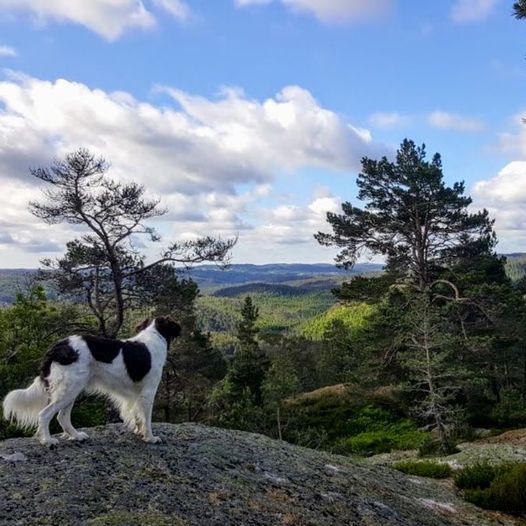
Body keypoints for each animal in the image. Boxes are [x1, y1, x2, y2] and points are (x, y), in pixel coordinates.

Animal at [1, 316, 182, 448]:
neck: (154, 335)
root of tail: (58, 347)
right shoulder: (148, 392)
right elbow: (147, 418)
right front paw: (150, 438)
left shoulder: (136, 394)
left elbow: (137, 415)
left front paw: (139, 432)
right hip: (69, 388)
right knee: (45, 414)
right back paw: (47, 440)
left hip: (72, 388)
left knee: (62, 416)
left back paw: (76, 436)